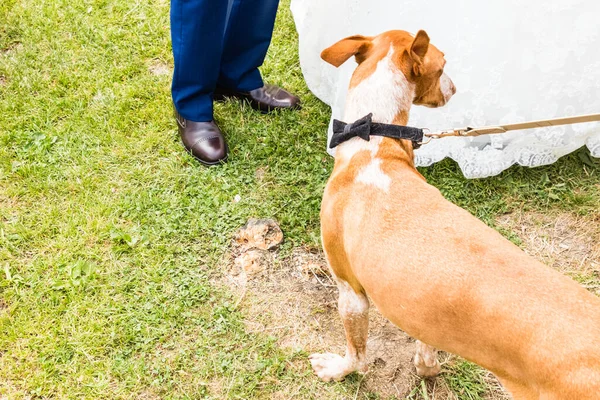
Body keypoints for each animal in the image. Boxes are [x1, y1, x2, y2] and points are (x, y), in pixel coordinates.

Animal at [312, 30, 600, 400]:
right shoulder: (421, 313)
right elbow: (426, 341)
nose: (455, 89)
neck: (374, 145)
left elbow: (357, 354)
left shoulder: (350, 290)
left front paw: (338, 370)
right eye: (442, 66)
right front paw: (426, 366)